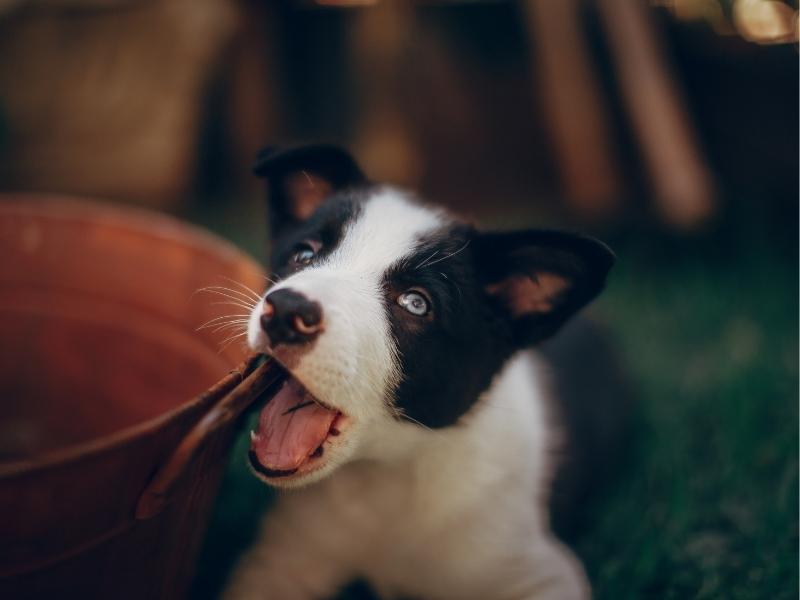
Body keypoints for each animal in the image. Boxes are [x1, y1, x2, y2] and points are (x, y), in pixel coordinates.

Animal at [228, 145, 616, 600]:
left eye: (416, 303)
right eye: (303, 255)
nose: (287, 312)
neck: (387, 475)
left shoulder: (542, 570)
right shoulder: (280, 560)